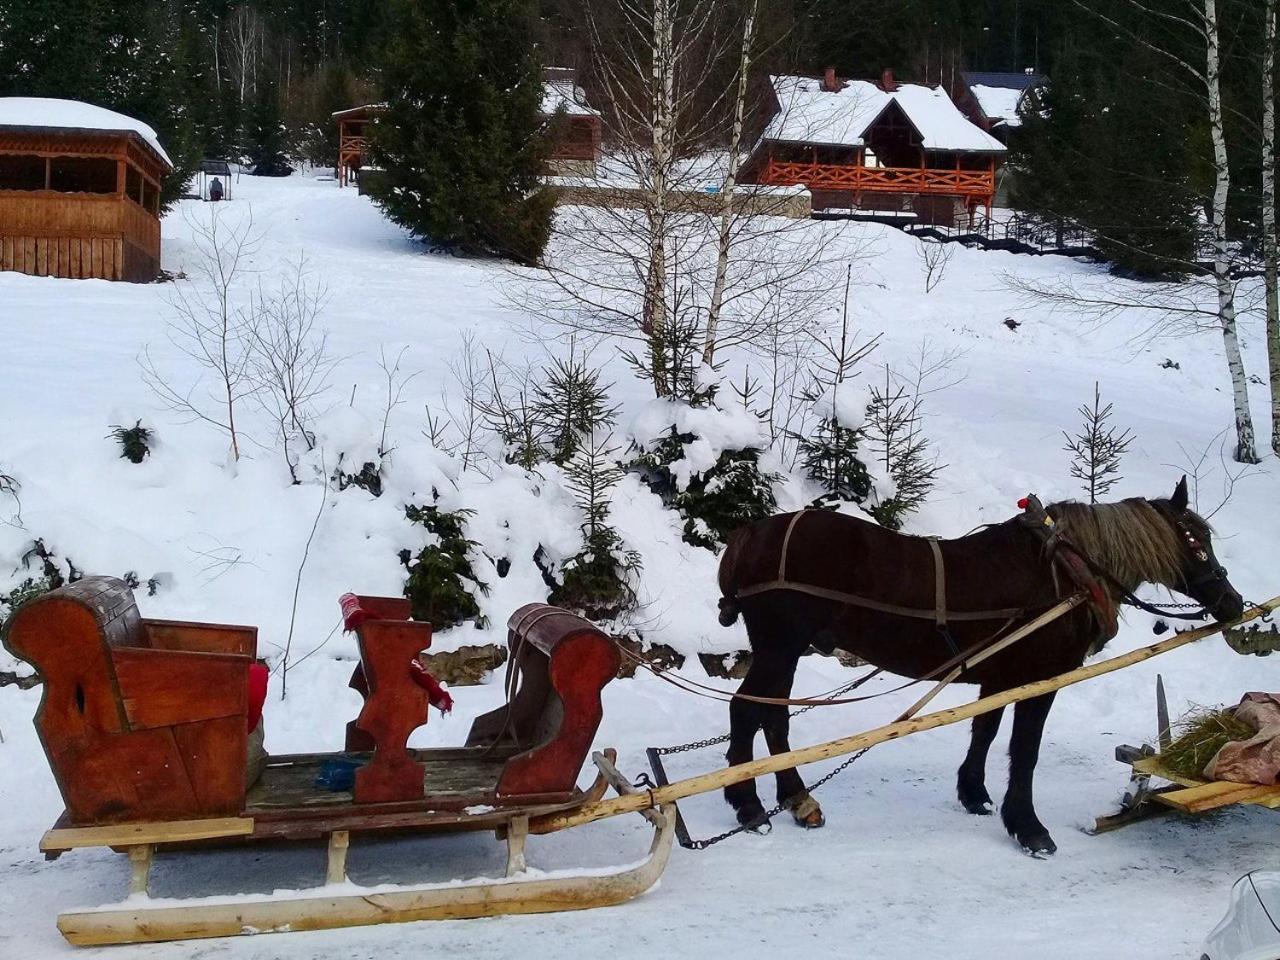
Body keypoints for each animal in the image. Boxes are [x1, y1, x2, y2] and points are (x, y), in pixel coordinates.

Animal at [716, 481, 1244, 855]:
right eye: (1196, 542)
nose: (1232, 601)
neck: (1062, 573)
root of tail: (748, 534)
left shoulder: (998, 676)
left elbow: (984, 733)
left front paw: (974, 794)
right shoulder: (1039, 679)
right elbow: (1024, 751)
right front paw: (1028, 827)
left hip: (786, 650)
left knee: (772, 716)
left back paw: (797, 800)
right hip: (779, 647)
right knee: (747, 711)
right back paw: (749, 806)